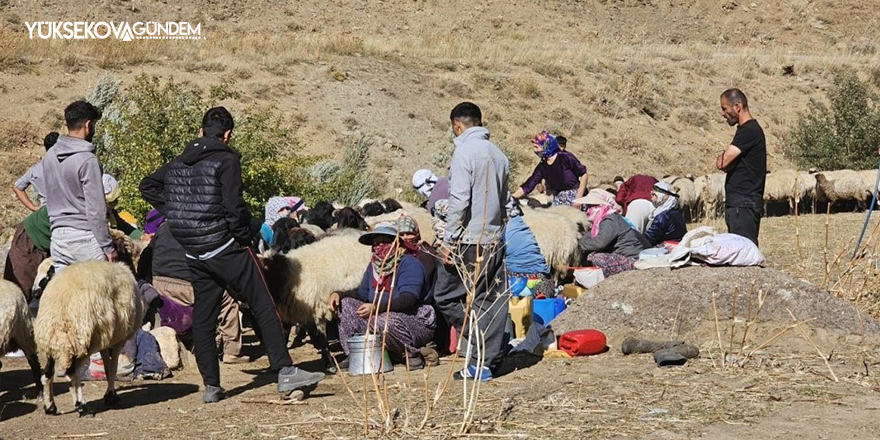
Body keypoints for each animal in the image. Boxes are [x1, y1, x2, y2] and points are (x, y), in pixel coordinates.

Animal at [34, 260, 144, 418]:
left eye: (45, 277)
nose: (34, 292)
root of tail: (57, 310)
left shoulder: (104, 338)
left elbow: (106, 365)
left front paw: (110, 395)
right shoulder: (118, 340)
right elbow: (113, 366)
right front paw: (111, 396)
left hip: (52, 342)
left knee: (47, 374)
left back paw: (50, 407)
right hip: (80, 341)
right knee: (72, 373)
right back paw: (83, 407)